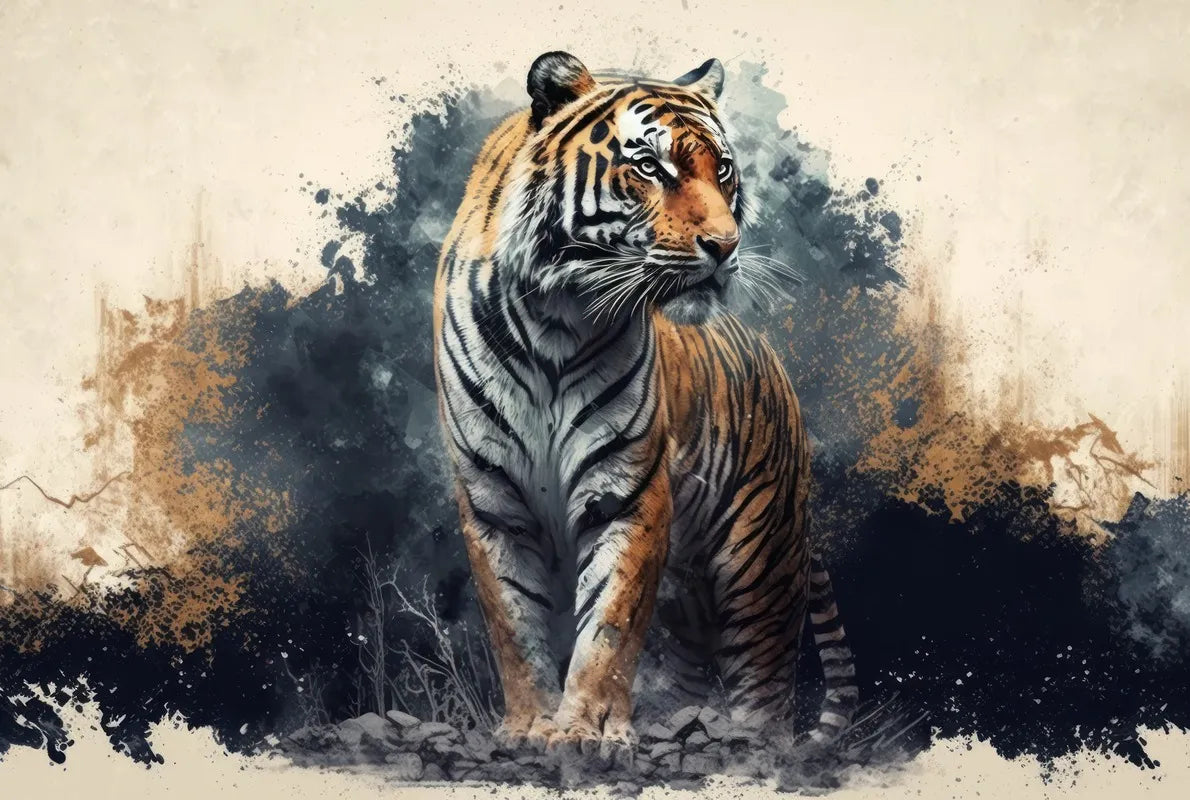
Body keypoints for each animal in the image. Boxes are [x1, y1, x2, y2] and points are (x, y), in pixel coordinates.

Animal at [432, 51, 858, 764]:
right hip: (692, 592)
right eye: (651, 168)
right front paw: (528, 726)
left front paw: (585, 731)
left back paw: (748, 743)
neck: (555, 321)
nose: (725, 246)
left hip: (759, 558)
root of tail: (775, 366)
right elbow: (512, 623)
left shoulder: (627, 492)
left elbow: (609, 624)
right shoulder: (492, 500)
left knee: (765, 679)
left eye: (723, 170)